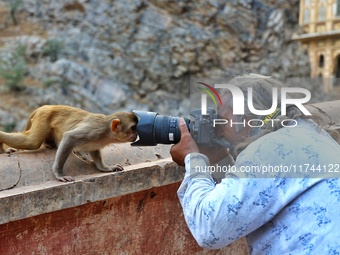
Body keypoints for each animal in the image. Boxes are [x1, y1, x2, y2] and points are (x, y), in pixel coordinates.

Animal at [0, 104, 138, 182]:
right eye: (132, 128)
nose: (136, 134)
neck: (108, 133)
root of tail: (47, 106)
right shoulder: (95, 131)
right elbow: (70, 137)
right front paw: (59, 174)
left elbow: (94, 149)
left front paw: (105, 168)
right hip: (44, 117)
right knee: (32, 142)